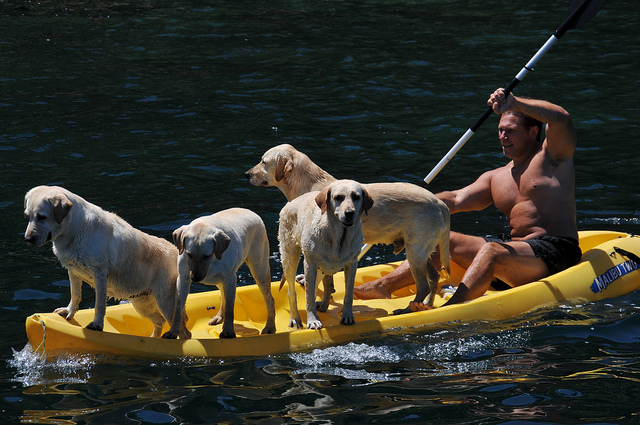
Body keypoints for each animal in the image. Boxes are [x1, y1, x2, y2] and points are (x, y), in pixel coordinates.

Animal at [23, 185, 189, 338]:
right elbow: (75, 293)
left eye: (42, 217)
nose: (28, 239)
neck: (73, 230)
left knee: (184, 332)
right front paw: (68, 311)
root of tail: (176, 250)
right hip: (142, 302)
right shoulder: (73, 270)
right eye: (27, 216)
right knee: (159, 321)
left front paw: (97, 325)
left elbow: (99, 304)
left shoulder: (100, 274)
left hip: (165, 301)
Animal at [162, 208, 276, 339]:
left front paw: (228, 331)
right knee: (223, 296)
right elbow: (178, 309)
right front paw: (172, 332)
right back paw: (219, 317)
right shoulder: (183, 279)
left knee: (269, 299)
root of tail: (251, 211)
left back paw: (270, 327)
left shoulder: (230, 279)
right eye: (188, 254)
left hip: (259, 269)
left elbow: (230, 308)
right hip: (220, 280)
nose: (196, 278)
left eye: (206, 256)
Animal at [247, 144, 451, 312]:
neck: (308, 185)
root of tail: (440, 203)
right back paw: (426, 306)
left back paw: (408, 309)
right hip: (420, 251)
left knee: (423, 285)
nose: (247, 174)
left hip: (415, 252)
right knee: (434, 277)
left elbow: (321, 282)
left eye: (263, 162)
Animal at [278, 179, 373, 329]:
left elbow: (348, 294)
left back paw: (323, 306)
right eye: (338, 197)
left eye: (356, 197)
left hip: (323, 267)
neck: (339, 237)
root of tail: (289, 203)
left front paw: (347, 316)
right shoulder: (310, 264)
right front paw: (312, 320)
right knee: (291, 292)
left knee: (326, 285)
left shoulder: (351, 263)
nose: (349, 213)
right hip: (290, 258)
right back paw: (295, 318)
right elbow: (309, 297)